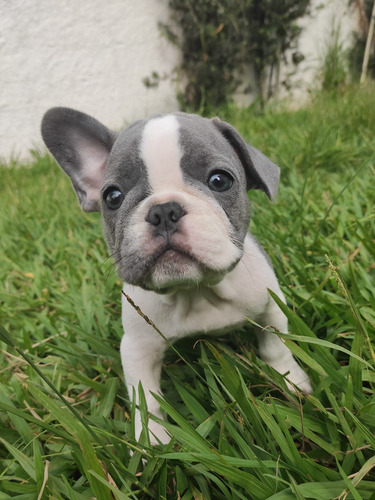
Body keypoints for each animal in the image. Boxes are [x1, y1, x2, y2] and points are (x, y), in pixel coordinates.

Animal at [41, 107, 312, 444]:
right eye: (113, 197)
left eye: (220, 180)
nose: (163, 211)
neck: (195, 291)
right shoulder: (138, 346)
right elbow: (145, 397)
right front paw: (151, 441)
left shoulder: (270, 305)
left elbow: (277, 347)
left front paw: (293, 383)